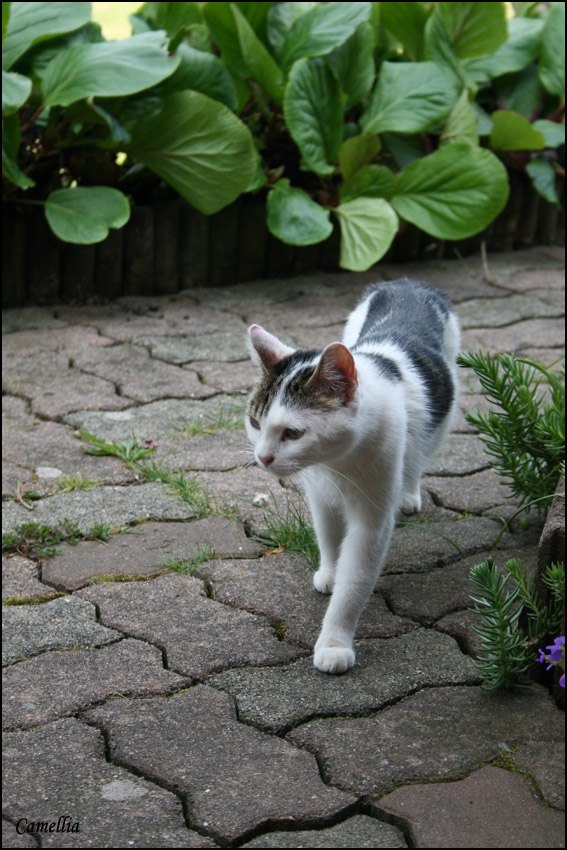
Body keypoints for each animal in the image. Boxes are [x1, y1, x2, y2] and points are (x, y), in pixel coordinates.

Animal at [246, 282, 460, 672]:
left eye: (293, 433)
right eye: (255, 423)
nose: (263, 458)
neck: (335, 462)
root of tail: (408, 283)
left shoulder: (372, 521)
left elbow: (355, 582)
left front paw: (334, 643)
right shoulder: (320, 494)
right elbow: (329, 536)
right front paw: (330, 572)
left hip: (441, 416)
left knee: (419, 455)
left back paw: (409, 493)